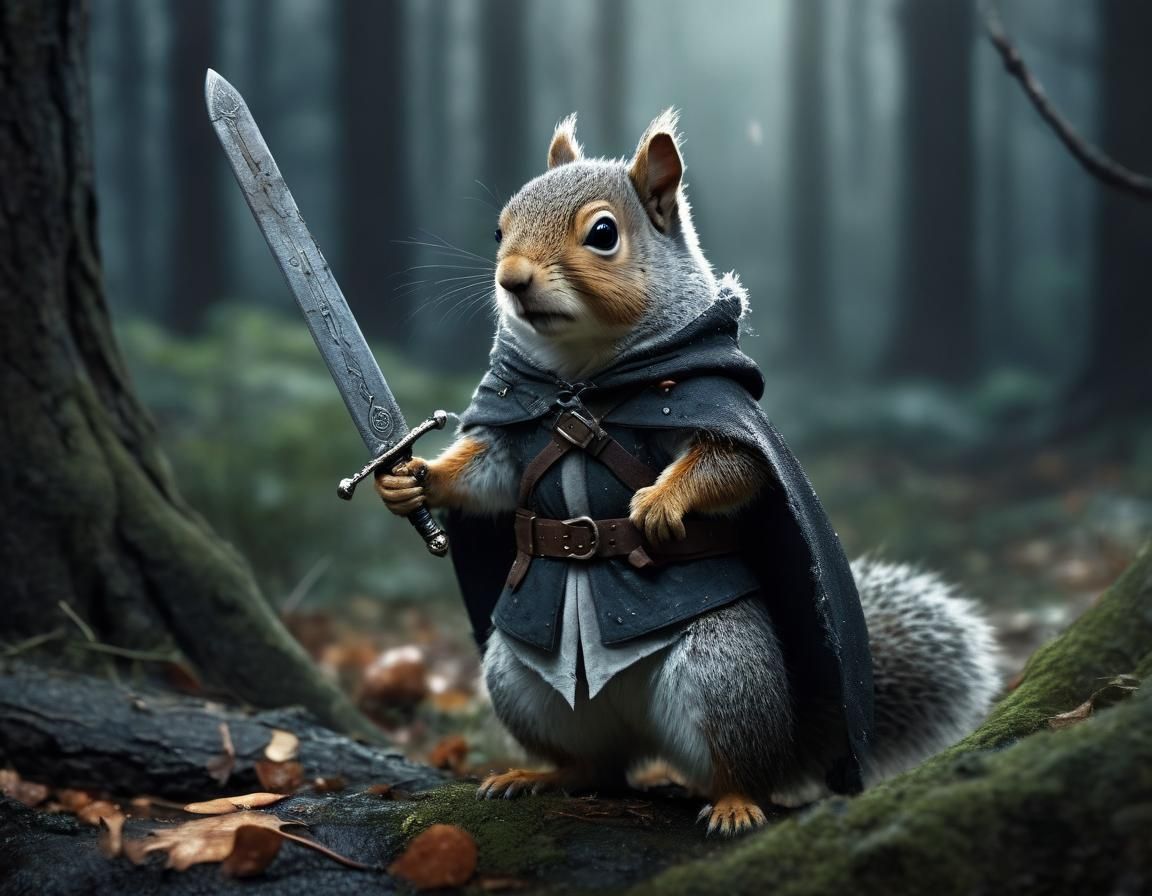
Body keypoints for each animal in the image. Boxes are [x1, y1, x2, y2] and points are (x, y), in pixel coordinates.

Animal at [377, 111, 999, 835]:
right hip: (519, 679)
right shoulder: (516, 434)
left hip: (720, 671)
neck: (585, 379)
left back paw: (733, 802)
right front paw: (414, 477)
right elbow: (493, 476)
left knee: (742, 766)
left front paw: (657, 505)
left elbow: (732, 466)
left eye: (603, 234)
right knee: (596, 766)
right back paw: (538, 776)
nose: (512, 279)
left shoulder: (715, 408)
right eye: (499, 229)